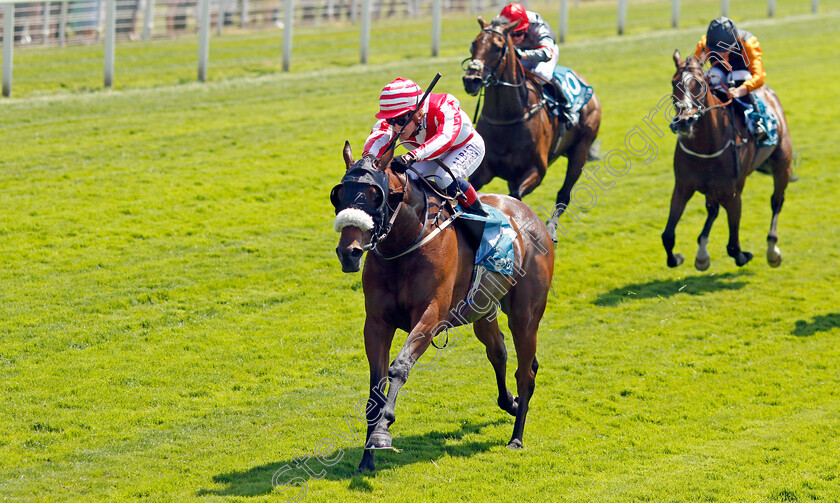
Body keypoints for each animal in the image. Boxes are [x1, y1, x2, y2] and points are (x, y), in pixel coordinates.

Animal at [332, 135, 556, 472]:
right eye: (339, 195)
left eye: (376, 196)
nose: (349, 252)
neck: (407, 243)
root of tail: (532, 218)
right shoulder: (376, 323)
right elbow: (375, 387)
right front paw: (367, 457)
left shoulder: (430, 316)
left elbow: (399, 368)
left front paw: (383, 431)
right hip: (482, 311)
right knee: (498, 352)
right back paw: (512, 403)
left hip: (525, 315)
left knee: (525, 372)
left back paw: (516, 437)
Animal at [462, 11, 600, 240]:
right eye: (473, 44)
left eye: (498, 47)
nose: (471, 79)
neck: (507, 119)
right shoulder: (485, 170)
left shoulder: (535, 171)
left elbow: (515, 197)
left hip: (580, 150)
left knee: (564, 194)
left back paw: (551, 230)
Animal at [664, 41, 796, 272]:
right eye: (674, 83)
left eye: (699, 83)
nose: (684, 122)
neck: (705, 147)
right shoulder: (683, 187)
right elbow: (668, 236)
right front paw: (677, 258)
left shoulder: (733, 193)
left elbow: (733, 246)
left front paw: (745, 255)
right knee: (712, 209)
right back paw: (702, 253)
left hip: (782, 165)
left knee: (776, 201)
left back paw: (772, 250)